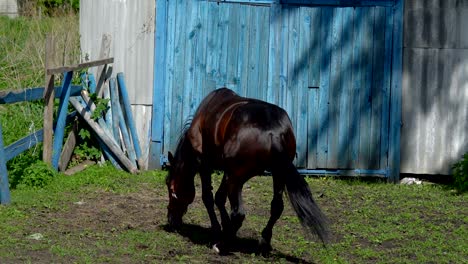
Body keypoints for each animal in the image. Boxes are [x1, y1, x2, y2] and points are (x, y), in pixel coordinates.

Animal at [166, 87, 328, 255]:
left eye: (170, 188)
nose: (171, 219)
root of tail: (274, 133)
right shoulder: (227, 170)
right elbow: (219, 197)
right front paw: (226, 227)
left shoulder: (205, 164)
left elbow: (208, 198)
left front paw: (218, 230)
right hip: (276, 174)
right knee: (276, 207)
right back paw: (263, 243)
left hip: (237, 178)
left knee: (238, 214)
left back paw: (222, 245)